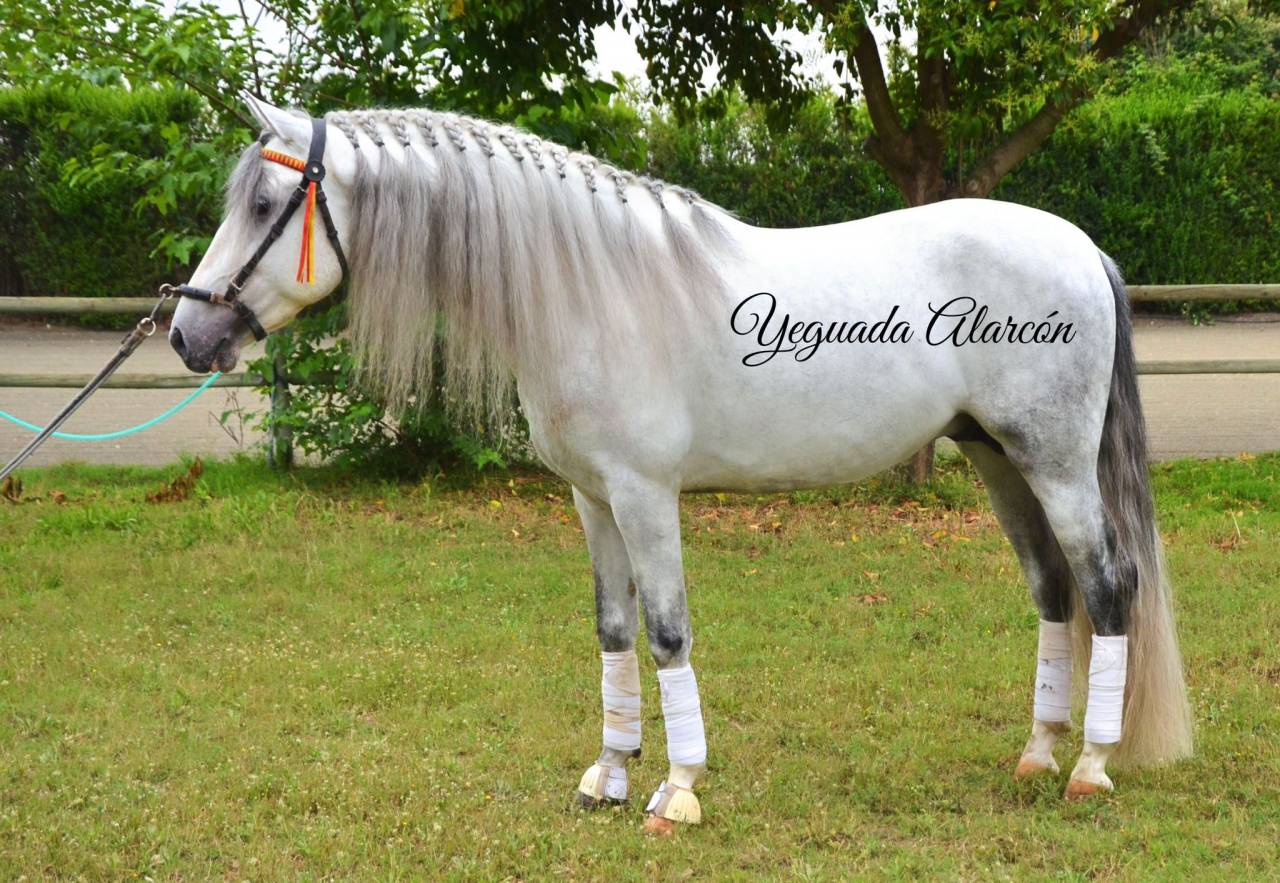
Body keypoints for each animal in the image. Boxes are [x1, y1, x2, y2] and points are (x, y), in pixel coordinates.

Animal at [170, 96, 1193, 834]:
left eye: (263, 205)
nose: (186, 333)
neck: (590, 289)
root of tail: (1079, 246)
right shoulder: (591, 499)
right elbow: (613, 630)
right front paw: (609, 775)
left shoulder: (645, 495)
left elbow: (666, 632)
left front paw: (679, 790)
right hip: (998, 460)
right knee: (1052, 589)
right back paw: (1038, 753)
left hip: (1057, 466)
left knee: (1108, 586)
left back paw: (1090, 766)